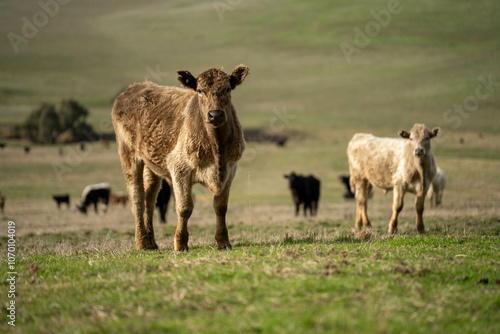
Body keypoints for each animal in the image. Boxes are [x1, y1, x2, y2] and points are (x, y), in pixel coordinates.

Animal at [111, 65, 248, 250]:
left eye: (227, 89)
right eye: (200, 90)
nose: (215, 114)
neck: (216, 147)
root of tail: (133, 88)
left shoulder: (230, 169)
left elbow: (220, 207)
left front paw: (223, 242)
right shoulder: (179, 169)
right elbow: (184, 208)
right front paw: (181, 244)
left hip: (151, 164)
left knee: (150, 198)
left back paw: (151, 242)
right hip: (129, 156)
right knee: (137, 198)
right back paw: (141, 242)